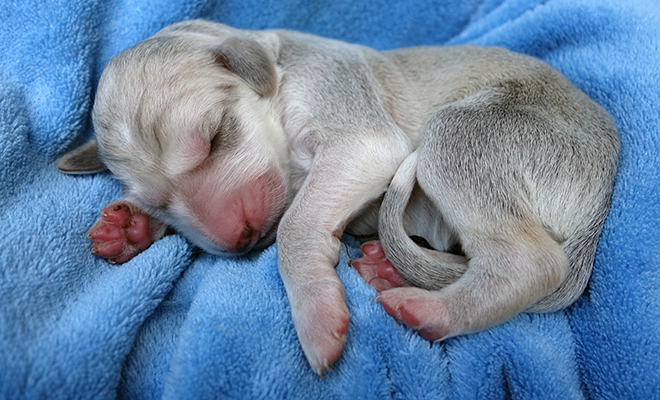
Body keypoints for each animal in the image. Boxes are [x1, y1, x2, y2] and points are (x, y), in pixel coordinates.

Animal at [56, 20, 620, 378]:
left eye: (215, 136)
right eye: (157, 202)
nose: (238, 242)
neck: (280, 75)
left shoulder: (354, 133)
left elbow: (293, 225)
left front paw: (316, 311)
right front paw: (128, 228)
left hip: (464, 136)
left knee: (528, 262)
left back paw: (429, 309)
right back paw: (391, 270)